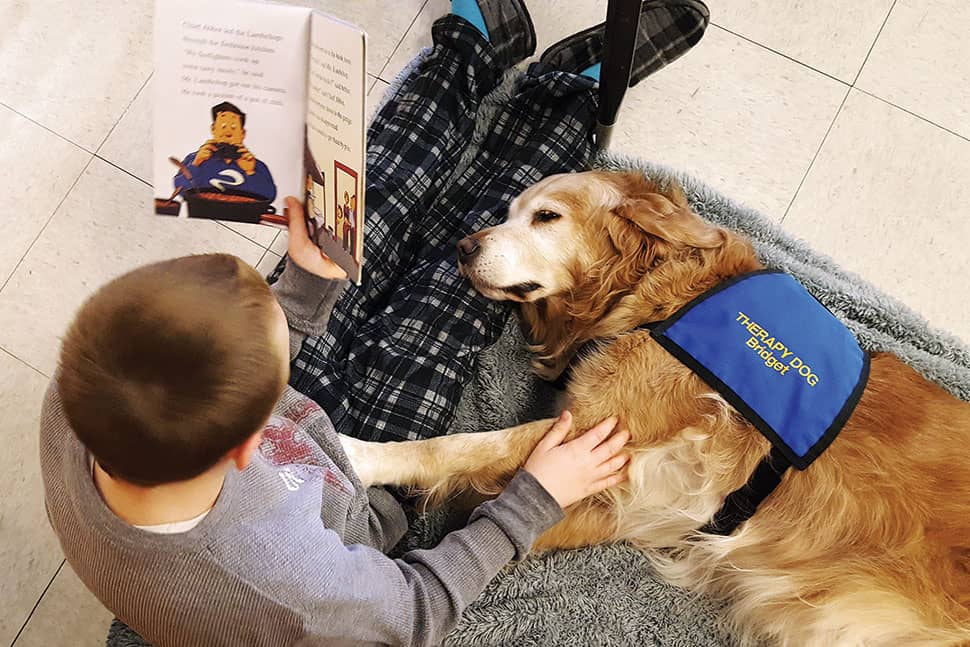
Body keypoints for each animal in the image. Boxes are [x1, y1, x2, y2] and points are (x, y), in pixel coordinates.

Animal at [342, 170, 968, 644]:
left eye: (546, 217)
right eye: (511, 211)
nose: (463, 246)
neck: (655, 295)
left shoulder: (601, 426)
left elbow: (458, 446)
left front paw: (360, 456)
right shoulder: (623, 502)